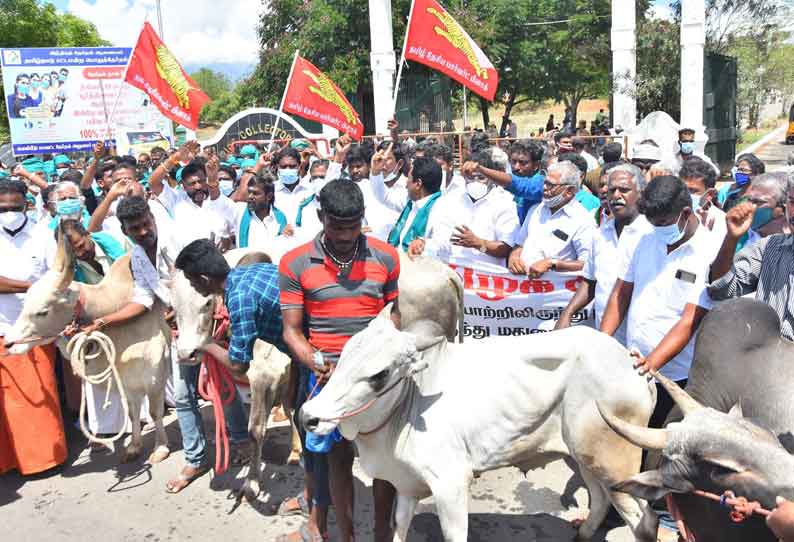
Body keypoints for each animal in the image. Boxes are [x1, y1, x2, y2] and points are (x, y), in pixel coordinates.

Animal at [4, 237, 170, 464]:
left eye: (43, 312)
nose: (8, 343)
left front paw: (160, 448)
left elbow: (154, 412)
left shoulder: (155, 377)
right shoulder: (127, 383)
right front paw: (134, 447)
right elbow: (132, 412)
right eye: (25, 303)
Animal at [300, 310, 660, 542]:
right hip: (584, 455)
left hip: (614, 461)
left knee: (644, 520)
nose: (308, 417)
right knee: (599, 500)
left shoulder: (451, 484)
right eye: (345, 354)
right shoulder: (406, 484)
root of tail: (635, 363)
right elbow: (399, 526)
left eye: (379, 375)